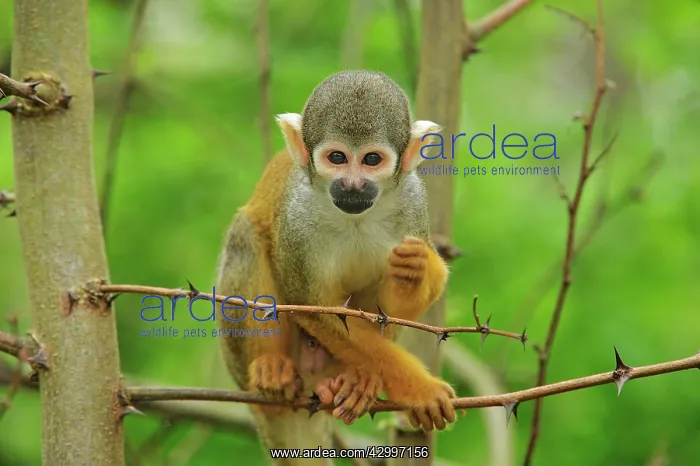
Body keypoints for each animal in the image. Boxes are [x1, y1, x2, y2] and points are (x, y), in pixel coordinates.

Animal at [215, 70, 455, 458]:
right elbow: (314, 308)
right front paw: (421, 389)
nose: (352, 186)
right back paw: (270, 368)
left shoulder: (413, 204)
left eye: (371, 160)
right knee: (244, 236)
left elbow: (392, 312)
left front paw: (415, 272)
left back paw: (350, 381)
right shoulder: (297, 220)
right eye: (337, 157)